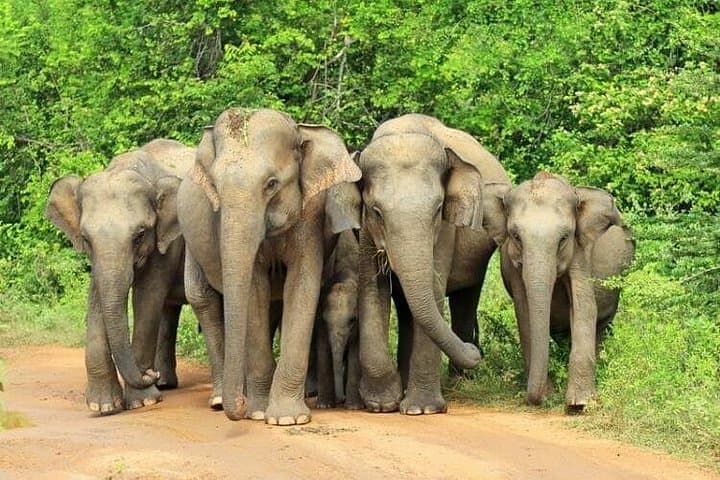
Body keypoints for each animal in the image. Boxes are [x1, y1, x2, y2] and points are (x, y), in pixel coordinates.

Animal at [46, 139, 194, 415]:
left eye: (139, 235)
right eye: (85, 238)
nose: (149, 374)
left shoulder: (167, 241)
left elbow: (147, 296)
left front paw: (143, 401)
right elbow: (96, 299)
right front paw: (103, 406)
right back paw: (165, 384)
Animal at [176, 108, 361, 425]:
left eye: (271, 184)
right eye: (215, 187)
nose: (239, 407)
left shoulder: (311, 214)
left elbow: (302, 284)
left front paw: (288, 419)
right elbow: (254, 289)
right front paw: (258, 412)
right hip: (191, 244)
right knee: (203, 299)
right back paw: (220, 400)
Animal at [356, 113, 511, 415]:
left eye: (438, 209)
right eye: (377, 212)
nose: (474, 351)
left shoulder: (446, 231)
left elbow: (435, 288)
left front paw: (422, 409)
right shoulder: (366, 231)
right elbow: (372, 288)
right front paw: (383, 404)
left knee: (465, 299)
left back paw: (460, 381)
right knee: (408, 310)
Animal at [499, 172, 635, 410]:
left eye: (564, 238)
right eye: (516, 236)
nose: (538, 399)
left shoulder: (580, 251)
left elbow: (585, 307)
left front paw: (579, 404)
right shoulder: (512, 264)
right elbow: (523, 314)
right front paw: (550, 394)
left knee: (602, 326)